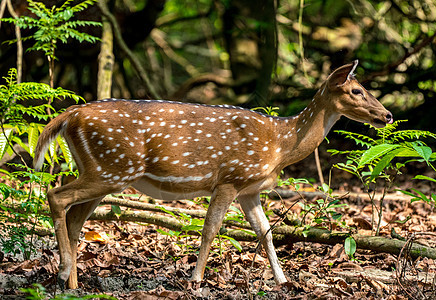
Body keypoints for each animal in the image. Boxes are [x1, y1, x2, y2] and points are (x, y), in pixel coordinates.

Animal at [34, 61, 394, 288]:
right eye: (357, 91)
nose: (388, 115)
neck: (280, 144)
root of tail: (69, 115)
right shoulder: (230, 177)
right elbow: (210, 229)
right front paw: (195, 280)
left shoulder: (250, 189)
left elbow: (266, 233)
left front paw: (284, 280)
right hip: (112, 167)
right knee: (56, 196)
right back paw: (63, 271)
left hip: (104, 169)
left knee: (75, 218)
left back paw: (73, 282)